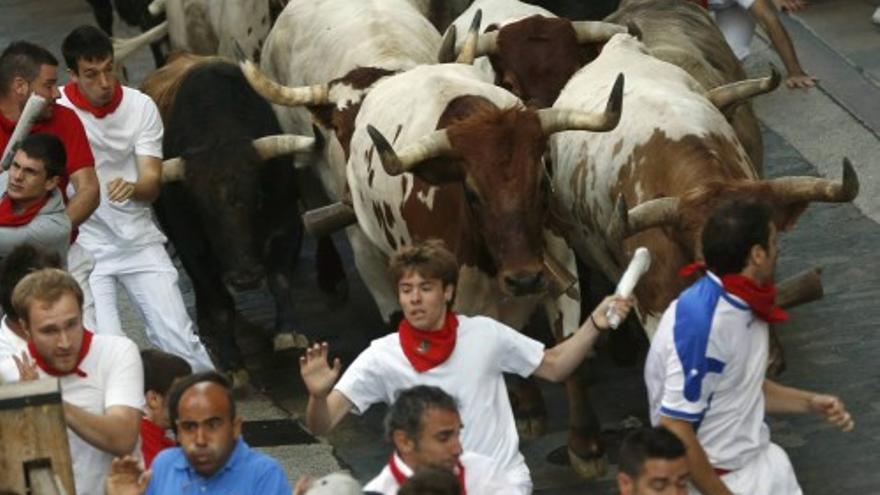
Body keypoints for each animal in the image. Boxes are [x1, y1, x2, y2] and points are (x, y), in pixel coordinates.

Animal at [155, 61, 340, 372]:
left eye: (259, 199)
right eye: (201, 211)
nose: (245, 279)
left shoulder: (286, 223)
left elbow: (279, 279)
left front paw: (287, 332)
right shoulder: (190, 245)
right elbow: (219, 302)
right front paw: (230, 359)